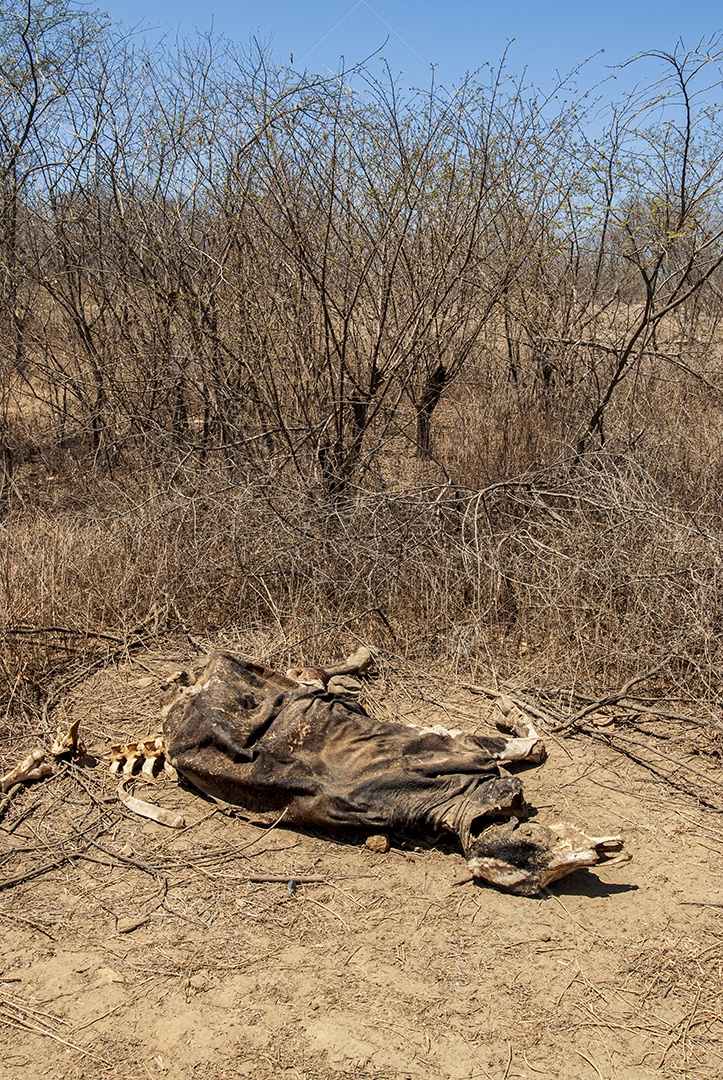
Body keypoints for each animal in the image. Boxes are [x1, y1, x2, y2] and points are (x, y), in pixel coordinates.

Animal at [160, 648, 625, 896]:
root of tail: (194, 687)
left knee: (305, 679)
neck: (451, 806)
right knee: (305, 678)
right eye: (532, 847)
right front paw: (509, 711)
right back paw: (357, 663)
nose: (595, 854)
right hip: (253, 678)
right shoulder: (455, 744)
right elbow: (530, 745)